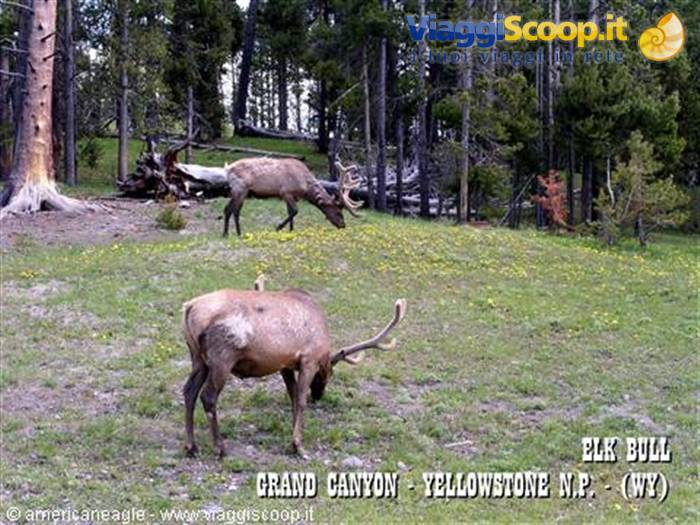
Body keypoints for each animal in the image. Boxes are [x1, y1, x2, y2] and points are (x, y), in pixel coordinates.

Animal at [181, 275, 406, 459]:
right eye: (328, 373)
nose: (319, 395)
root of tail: (189, 308)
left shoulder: (285, 365)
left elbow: (292, 397)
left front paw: (293, 431)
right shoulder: (308, 360)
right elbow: (300, 399)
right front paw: (298, 445)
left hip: (198, 358)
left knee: (188, 391)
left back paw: (191, 446)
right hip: (222, 358)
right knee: (208, 397)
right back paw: (220, 447)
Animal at [222, 159, 363, 237]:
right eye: (338, 211)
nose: (343, 225)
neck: (305, 187)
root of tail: (227, 169)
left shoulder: (292, 196)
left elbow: (290, 212)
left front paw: (291, 230)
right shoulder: (286, 192)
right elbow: (295, 211)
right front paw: (278, 227)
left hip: (242, 192)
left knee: (232, 210)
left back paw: (235, 233)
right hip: (240, 189)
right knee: (230, 209)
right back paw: (229, 234)